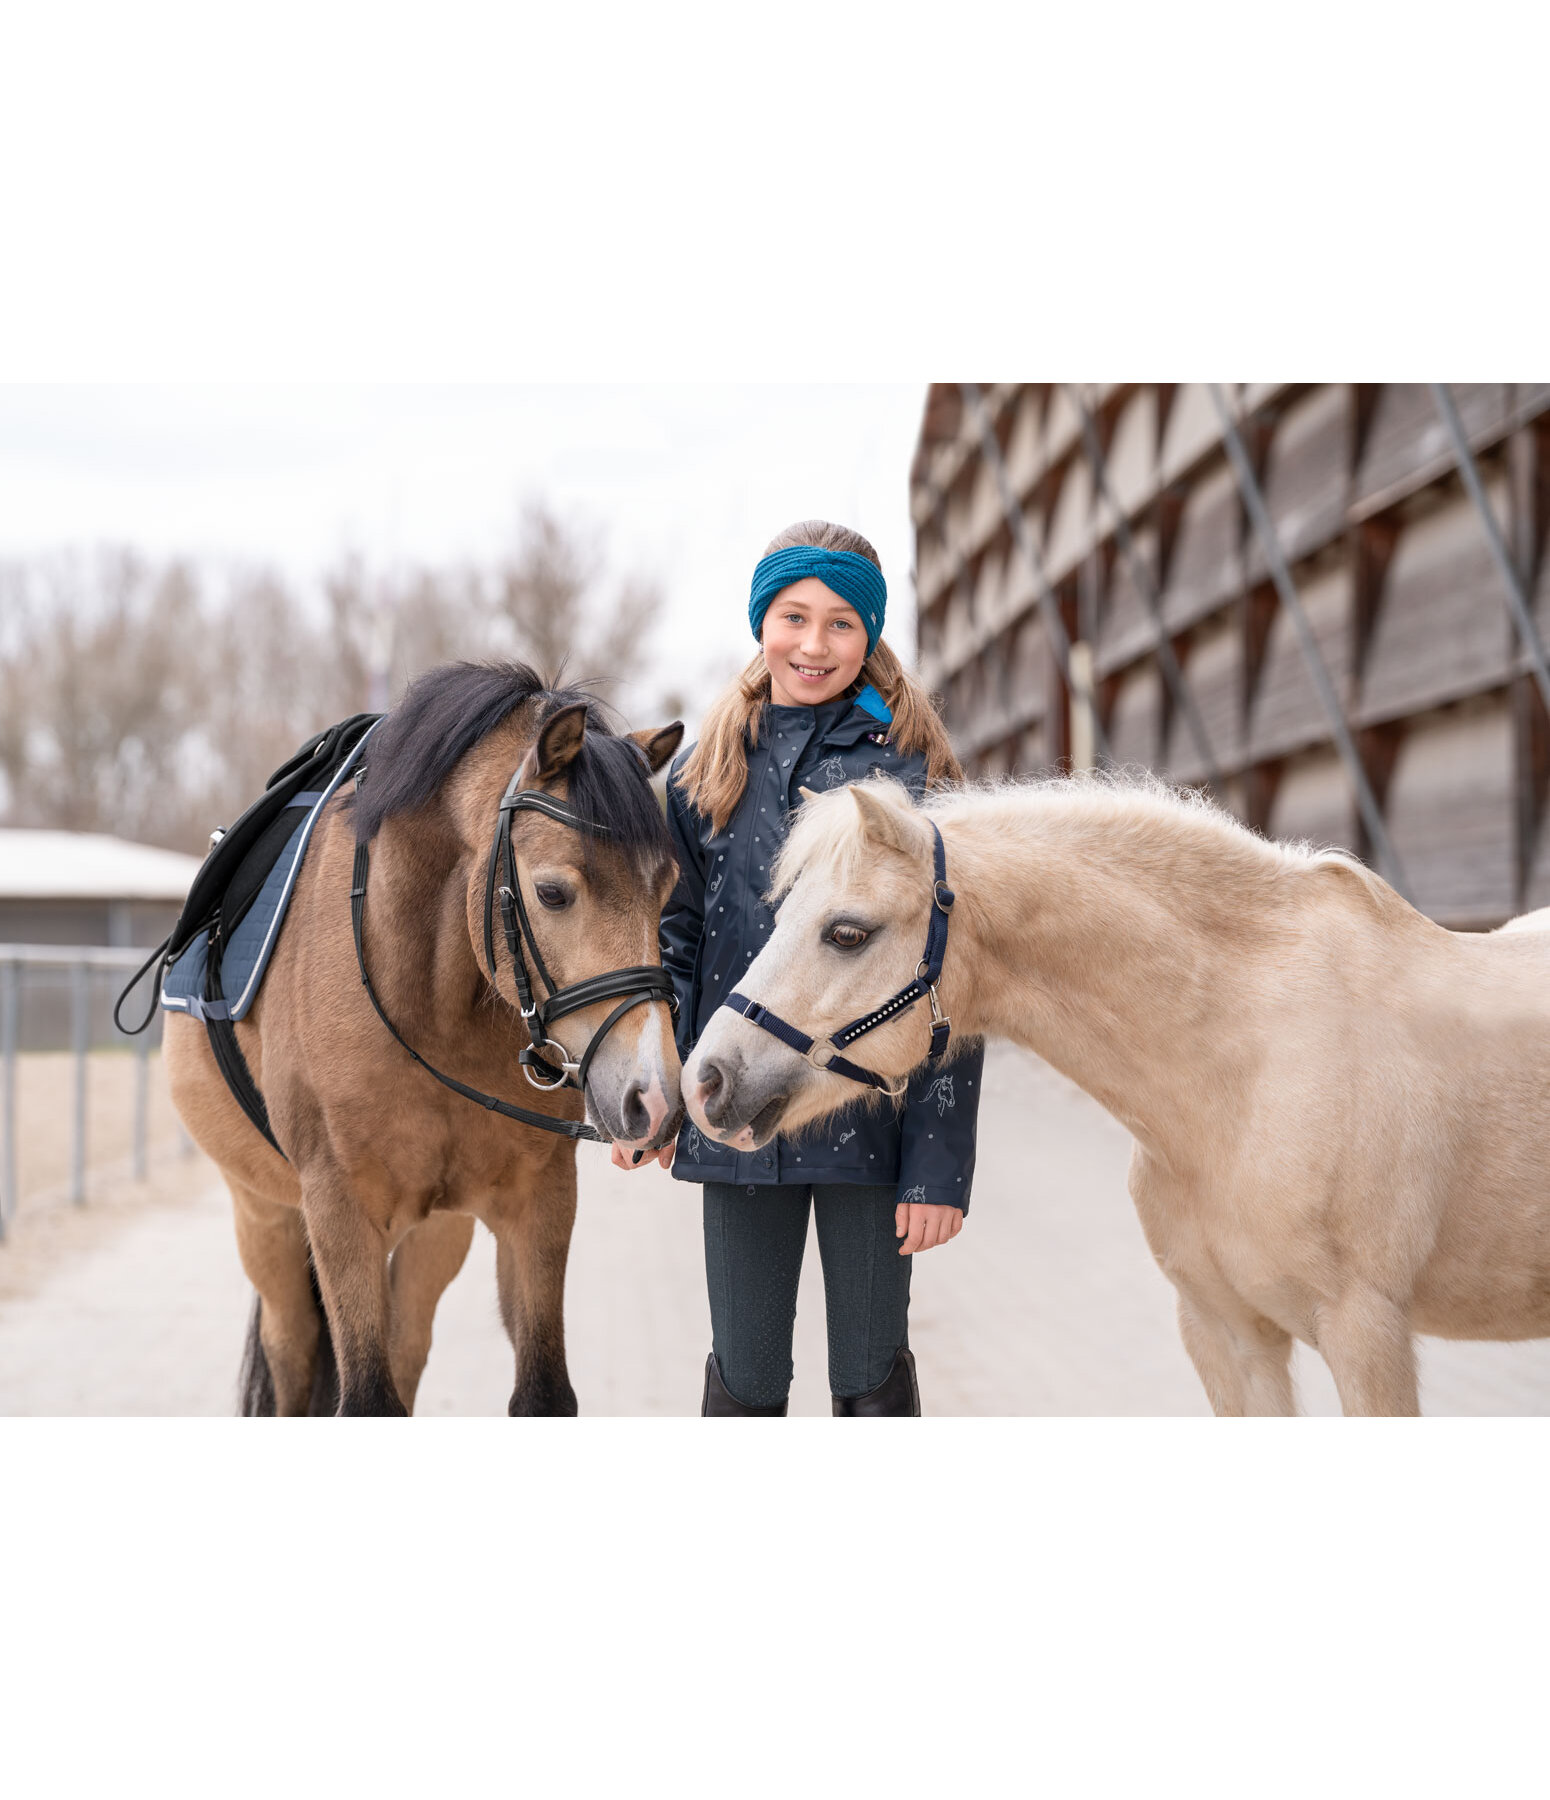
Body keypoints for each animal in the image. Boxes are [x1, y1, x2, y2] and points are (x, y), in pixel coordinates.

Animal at [162, 662, 684, 1418]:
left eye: (666, 890)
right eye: (553, 894)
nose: (655, 1097)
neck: (428, 1011)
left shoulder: (538, 1200)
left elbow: (541, 1391)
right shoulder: (337, 1210)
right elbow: (364, 1397)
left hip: (434, 1231)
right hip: (266, 1218)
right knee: (292, 1352)